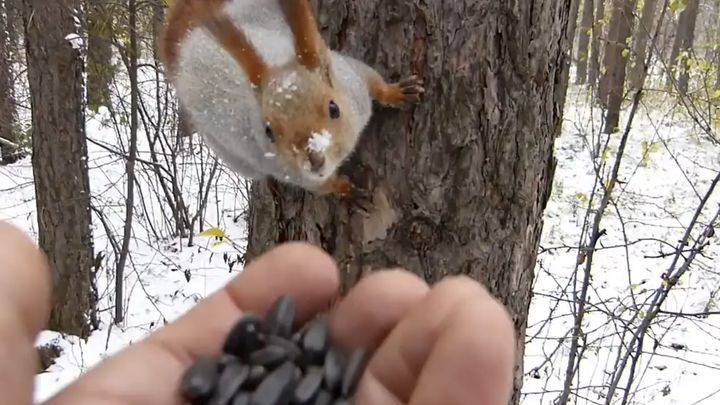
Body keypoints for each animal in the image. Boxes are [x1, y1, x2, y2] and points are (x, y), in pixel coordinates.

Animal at [158, 0, 422, 199]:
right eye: (269, 132)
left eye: (334, 108)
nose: (315, 159)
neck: (276, 62)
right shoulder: (288, 171)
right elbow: (320, 186)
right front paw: (344, 189)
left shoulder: (352, 81)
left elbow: (373, 82)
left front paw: (397, 92)